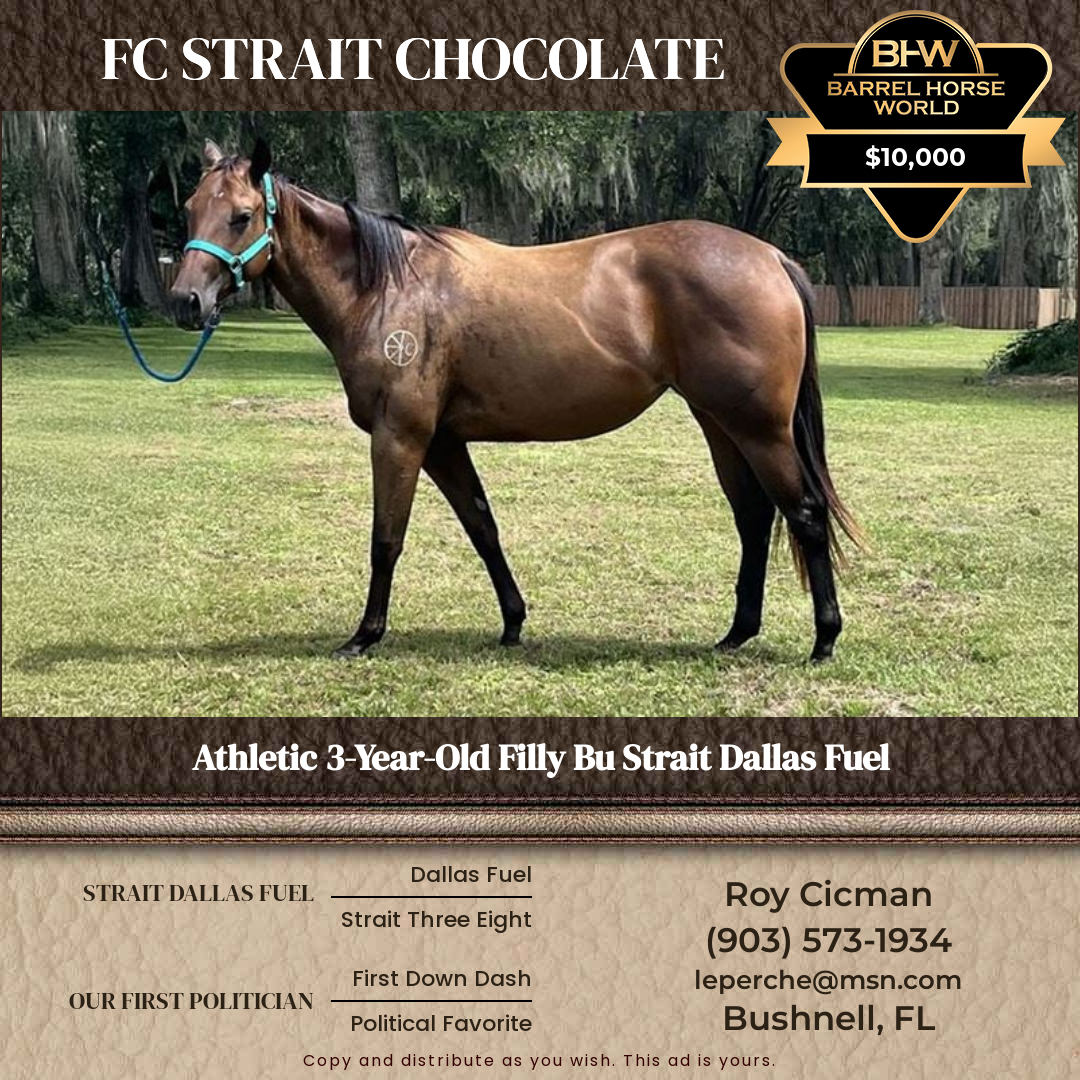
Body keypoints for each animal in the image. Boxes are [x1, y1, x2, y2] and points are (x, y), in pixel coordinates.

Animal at [170, 138, 859, 662]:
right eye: (189, 209)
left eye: (240, 216)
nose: (185, 303)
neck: (387, 288)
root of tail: (769, 256)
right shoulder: (443, 442)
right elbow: (482, 526)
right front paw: (513, 623)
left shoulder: (401, 437)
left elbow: (386, 538)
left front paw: (364, 636)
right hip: (720, 423)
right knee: (754, 517)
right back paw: (736, 634)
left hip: (759, 428)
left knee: (802, 512)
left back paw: (824, 639)